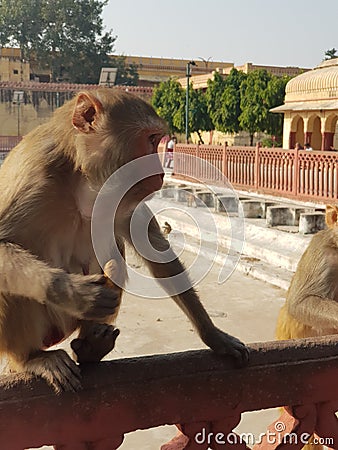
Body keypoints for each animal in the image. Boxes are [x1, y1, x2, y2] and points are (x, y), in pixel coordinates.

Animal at [0, 89, 248, 392]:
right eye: (151, 140)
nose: (159, 169)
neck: (83, 177)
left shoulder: (124, 191)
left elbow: (154, 251)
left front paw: (213, 335)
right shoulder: (34, 174)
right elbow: (4, 243)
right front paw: (78, 293)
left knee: (114, 252)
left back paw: (92, 346)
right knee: (12, 285)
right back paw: (31, 358)